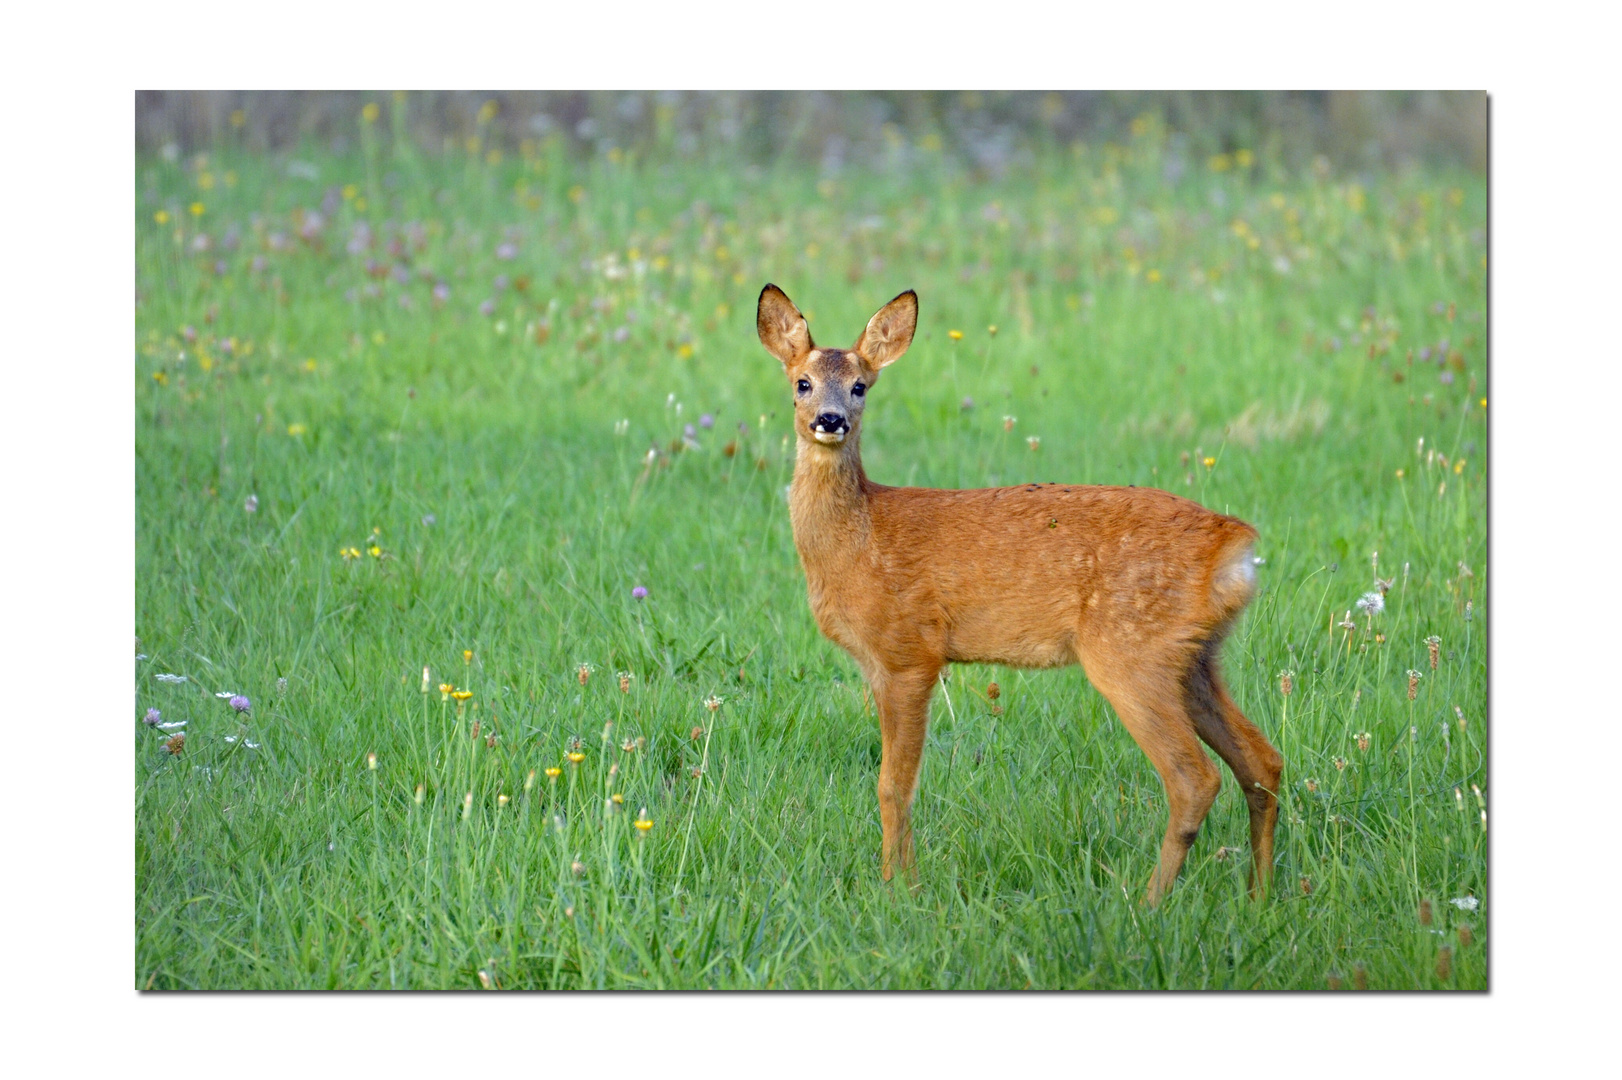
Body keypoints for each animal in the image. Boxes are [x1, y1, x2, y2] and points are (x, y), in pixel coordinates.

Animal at [755, 283, 1278, 901]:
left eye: (860, 385)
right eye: (801, 383)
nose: (830, 419)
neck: (859, 537)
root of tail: (1235, 547)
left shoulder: (910, 651)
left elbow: (893, 786)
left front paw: (899, 889)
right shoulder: (881, 664)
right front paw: (902, 882)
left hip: (1131, 650)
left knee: (1195, 778)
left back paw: (1147, 902)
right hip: (1196, 657)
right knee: (1263, 762)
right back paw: (1261, 897)